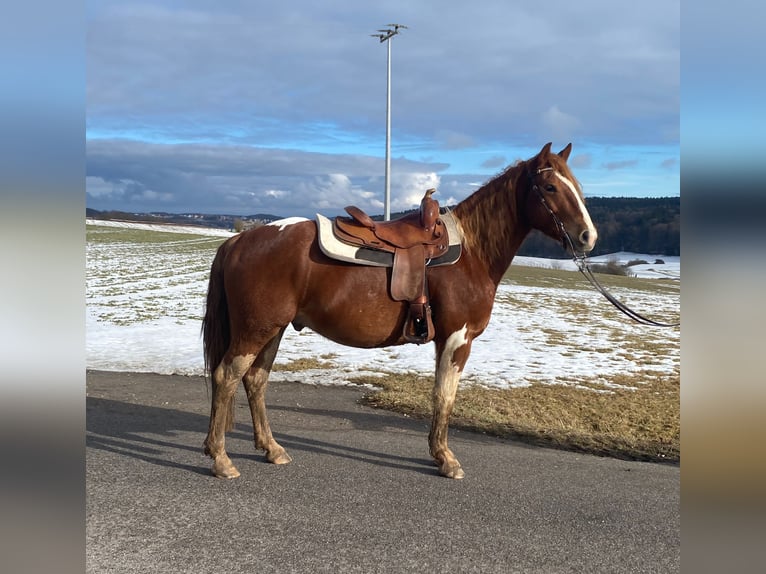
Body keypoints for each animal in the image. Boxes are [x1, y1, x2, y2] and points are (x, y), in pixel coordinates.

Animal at [202, 142, 597, 480]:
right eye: (549, 187)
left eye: (576, 186)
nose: (587, 237)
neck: (472, 253)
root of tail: (240, 240)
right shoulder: (457, 338)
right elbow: (444, 396)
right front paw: (445, 459)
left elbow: (441, 395)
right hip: (256, 329)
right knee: (226, 377)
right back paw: (220, 459)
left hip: (274, 328)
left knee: (255, 380)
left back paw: (272, 449)